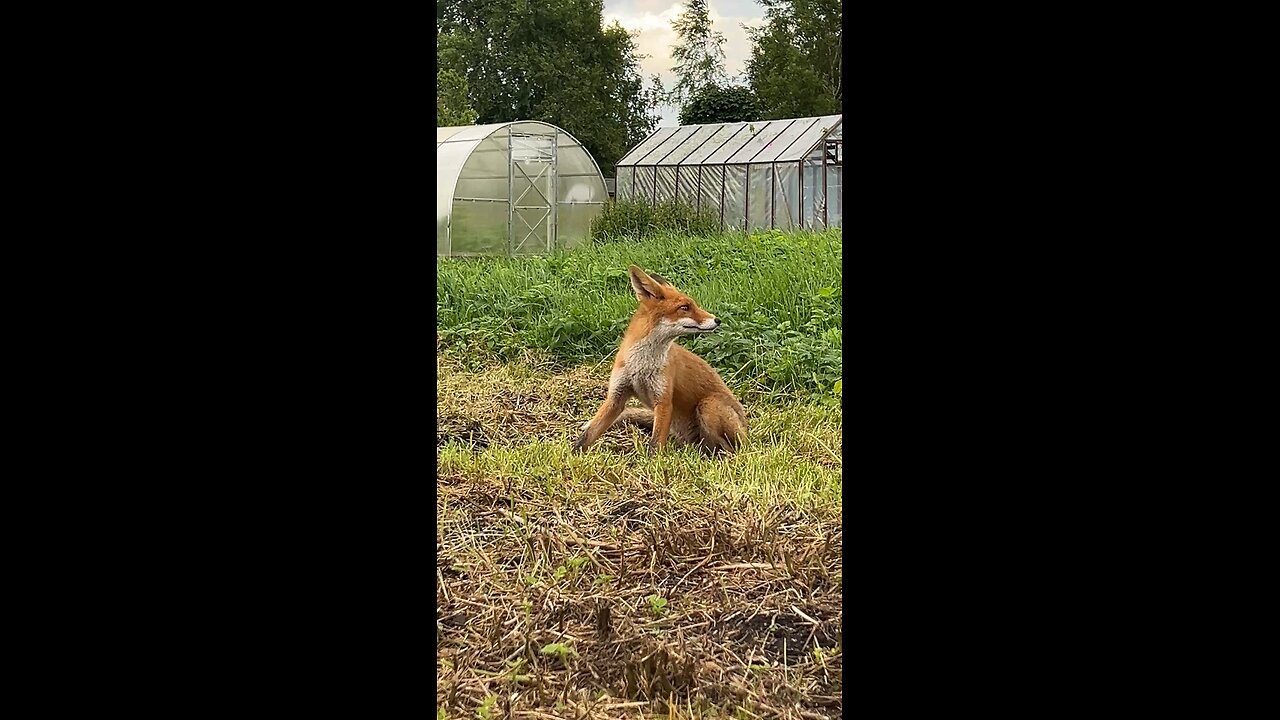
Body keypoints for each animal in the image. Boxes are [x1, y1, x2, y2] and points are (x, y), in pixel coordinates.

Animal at [571, 265, 748, 456]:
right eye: (685, 307)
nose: (717, 320)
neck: (641, 365)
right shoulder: (616, 398)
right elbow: (587, 436)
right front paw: (572, 455)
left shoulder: (663, 400)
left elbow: (655, 445)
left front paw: (653, 462)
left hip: (709, 406)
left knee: (732, 448)